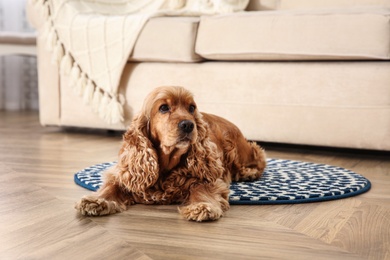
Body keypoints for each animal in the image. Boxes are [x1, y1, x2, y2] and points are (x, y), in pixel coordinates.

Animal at [75, 86, 266, 222]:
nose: (188, 125)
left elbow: (201, 187)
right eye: (164, 108)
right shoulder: (123, 172)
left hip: (236, 149)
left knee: (259, 155)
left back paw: (248, 173)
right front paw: (97, 201)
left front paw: (202, 206)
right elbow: (111, 186)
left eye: (191, 107)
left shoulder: (210, 177)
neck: (166, 166)